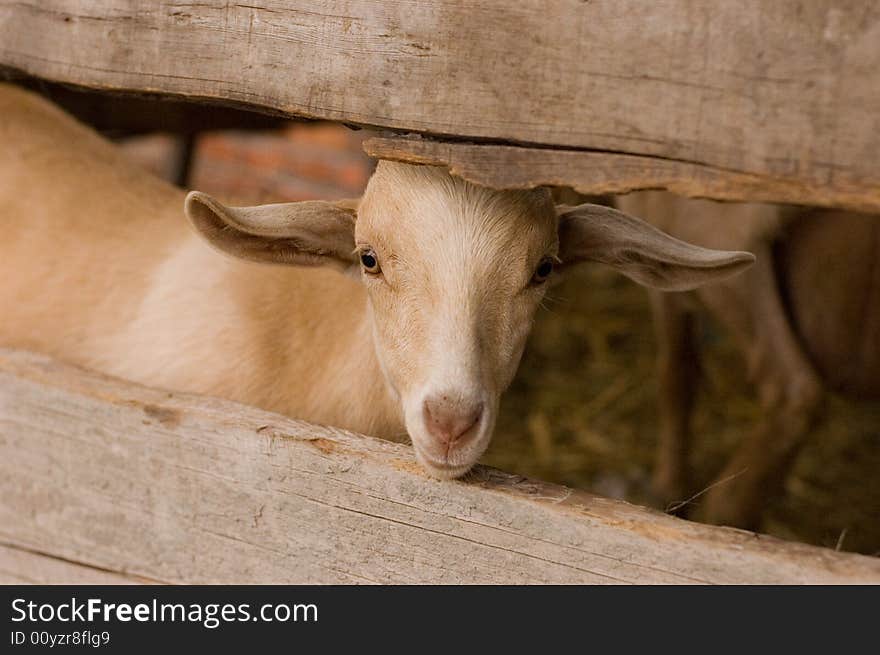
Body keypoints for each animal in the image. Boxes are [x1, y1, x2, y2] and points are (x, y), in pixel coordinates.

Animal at [620, 192, 880, 532]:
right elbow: (684, 370)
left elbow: (673, 375)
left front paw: (667, 489)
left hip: (724, 243)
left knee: (793, 388)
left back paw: (726, 511)